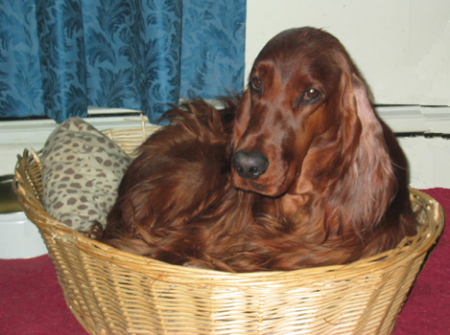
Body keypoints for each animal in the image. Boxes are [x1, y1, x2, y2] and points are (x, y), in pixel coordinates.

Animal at [100, 26, 416, 272]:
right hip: (201, 167)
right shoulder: (201, 232)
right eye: (257, 83)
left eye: (311, 93)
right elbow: (156, 250)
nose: (246, 165)